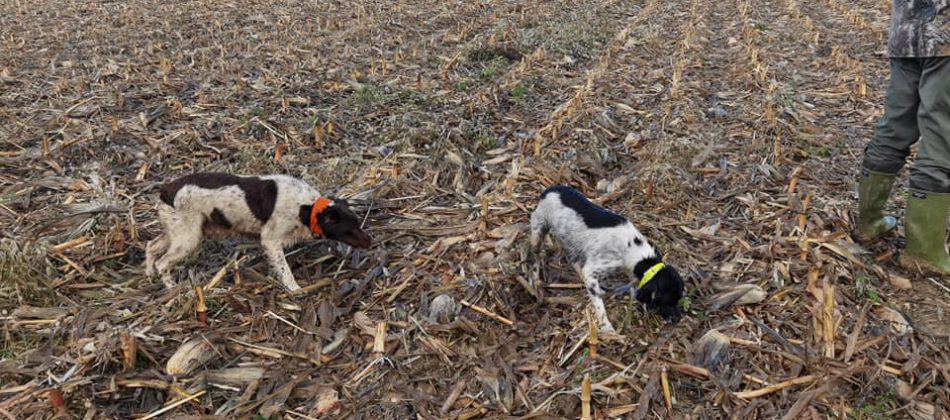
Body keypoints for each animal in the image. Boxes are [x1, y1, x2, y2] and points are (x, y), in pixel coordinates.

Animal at [145, 172, 372, 290]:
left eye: (358, 223)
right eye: (350, 229)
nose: (370, 241)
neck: (306, 208)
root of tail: (165, 191)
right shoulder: (271, 241)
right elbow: (285, 270)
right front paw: (295, 290)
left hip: (176, 232)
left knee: (151, 246)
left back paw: (149, 273)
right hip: (188, 238)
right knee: (163, 262)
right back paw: (173, 288)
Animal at [536, 185, 684, 332]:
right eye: (666, 301)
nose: (678, 319)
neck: (635, 251)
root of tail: (550, 189)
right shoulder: (593, 270)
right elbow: (598, 304)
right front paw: (607, 327)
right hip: (538, 229)